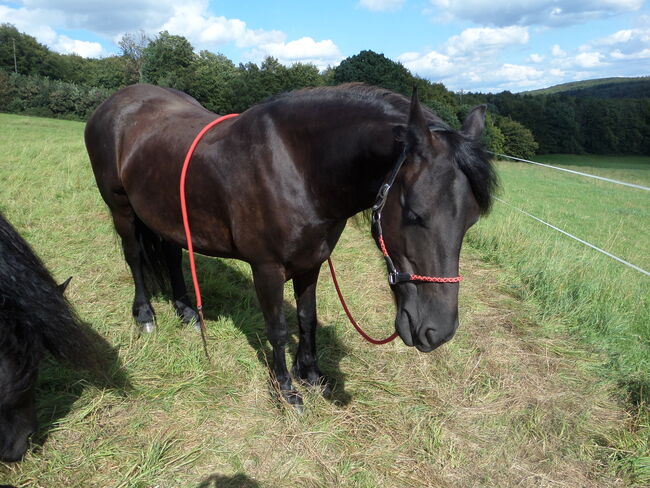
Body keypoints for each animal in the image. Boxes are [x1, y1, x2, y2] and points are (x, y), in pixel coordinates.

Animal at [83, 84, 494, 408]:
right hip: (121, 209)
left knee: (170, 254)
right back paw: (145, 315)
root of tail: (114, 102)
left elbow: (306, 319)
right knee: (134, 258)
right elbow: (278, 328)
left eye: (472, 220)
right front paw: (286, 389)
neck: (296, 166)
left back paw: (186, 310)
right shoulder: (266, 268)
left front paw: (310, 374)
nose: (437, 332)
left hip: (165, 212)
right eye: (413, 213)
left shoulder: (311, 261)